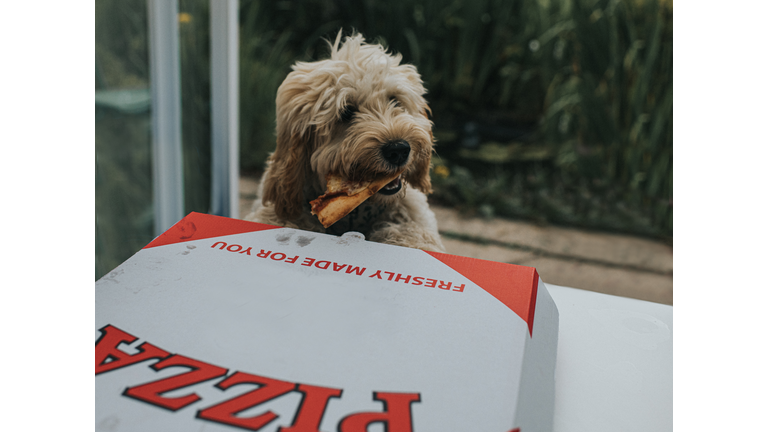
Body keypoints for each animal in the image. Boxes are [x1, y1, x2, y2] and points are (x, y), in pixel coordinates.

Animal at [246, 33, 448, 253]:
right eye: (346, 112)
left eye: (395, 100)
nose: (398, 150)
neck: (356, 214)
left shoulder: (413, 219)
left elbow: (414, 235)